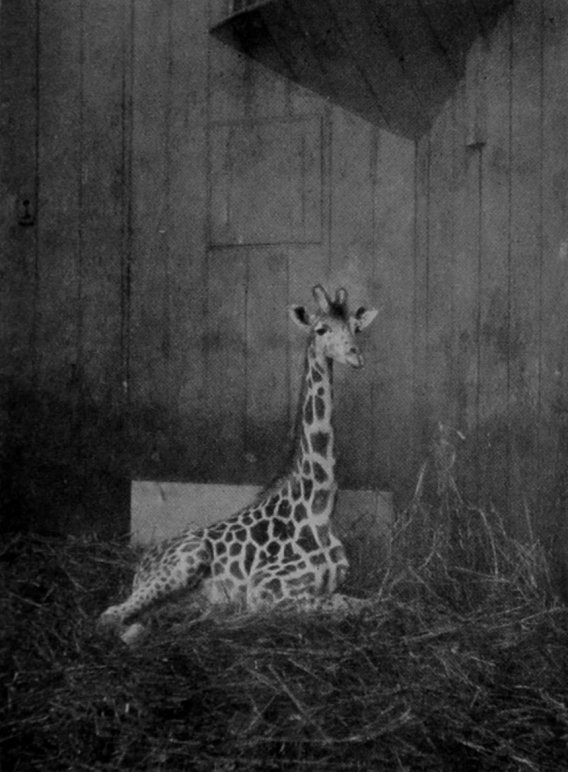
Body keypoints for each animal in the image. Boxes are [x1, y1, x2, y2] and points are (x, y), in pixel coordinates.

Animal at [98, 285, 378, 644]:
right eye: (321, 329)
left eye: (355, 328)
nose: (356, 356)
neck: (320, 507)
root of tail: (142, 563)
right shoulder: (266, 589)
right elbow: (339, 605)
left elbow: (368, 603)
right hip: (187, 559)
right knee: (110, 616)